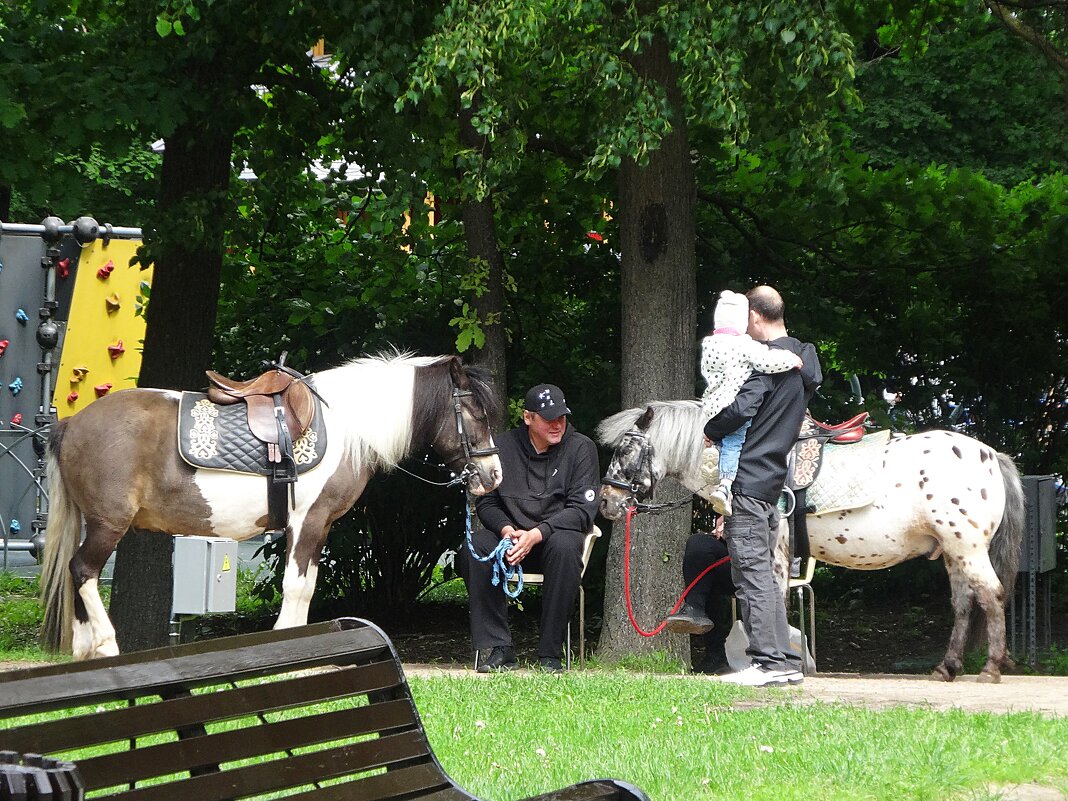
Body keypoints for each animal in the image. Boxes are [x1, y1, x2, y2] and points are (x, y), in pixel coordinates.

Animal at [43, 354, 501, 662]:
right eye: (475, 413)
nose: (493, 475)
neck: (346, 427)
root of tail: (71, 423)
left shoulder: (321, 527)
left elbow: (308, 586)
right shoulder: (306, 522)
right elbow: (296, 586)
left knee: (76, 573)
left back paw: (83, 649)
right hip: (108, 524)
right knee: (83, 571)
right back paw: (105, 645)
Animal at [602, 401, 1025, 683]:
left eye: (625, 449)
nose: (606, 501)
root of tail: (991, 454)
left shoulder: (774, 548)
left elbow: (768, 596)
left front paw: (773, 663)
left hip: (968, 548)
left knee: (992, 595)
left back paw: (991, 668)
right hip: (953, 553)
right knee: (964, 603)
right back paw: (947, 667)